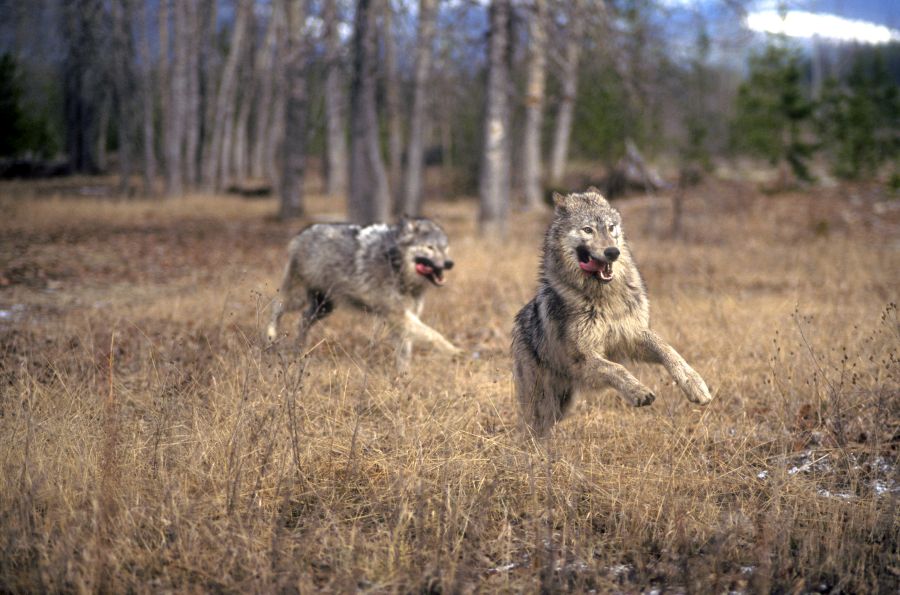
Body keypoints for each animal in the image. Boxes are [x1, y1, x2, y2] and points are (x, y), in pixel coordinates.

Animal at [266, 217, 460, 370]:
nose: (449, 263)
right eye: (430, 247)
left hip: (324, 307)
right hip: (297, 299)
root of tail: (303, 232)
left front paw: (402, 377)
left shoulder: (404, 319)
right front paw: (455, 352)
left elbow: (405, 351)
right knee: (276, 307)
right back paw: (270, 337)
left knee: (302, 321)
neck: (395, 264)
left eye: (445, 248)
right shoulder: (397, 315)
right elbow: (433, 335)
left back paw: (299, 349)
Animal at [512, 189, 712, 436]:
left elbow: (668, 350)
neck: (604, 299)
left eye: (610, 227)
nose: (612, 252)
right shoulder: (584, 358)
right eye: (587, 229)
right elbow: (615, 369)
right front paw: (638, 391)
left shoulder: (632, 336)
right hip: (544, 401)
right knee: (531, 427)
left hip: (562, 403)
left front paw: (695, 384)